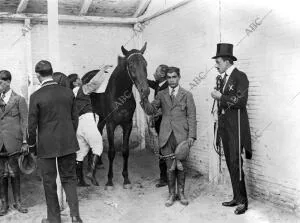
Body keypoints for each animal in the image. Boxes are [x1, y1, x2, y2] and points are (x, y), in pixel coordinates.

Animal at [81, 42, 149, 189]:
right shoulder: (111, 124)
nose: (145, 90)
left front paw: (126, 179)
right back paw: (90, 164)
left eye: (145, 64)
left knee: (99, 130)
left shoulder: (127, 124)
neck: (118, 94)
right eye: (131, 65)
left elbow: (125, 150)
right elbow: (112, 152)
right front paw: (109, 181)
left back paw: (99, 162)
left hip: (102, 117)